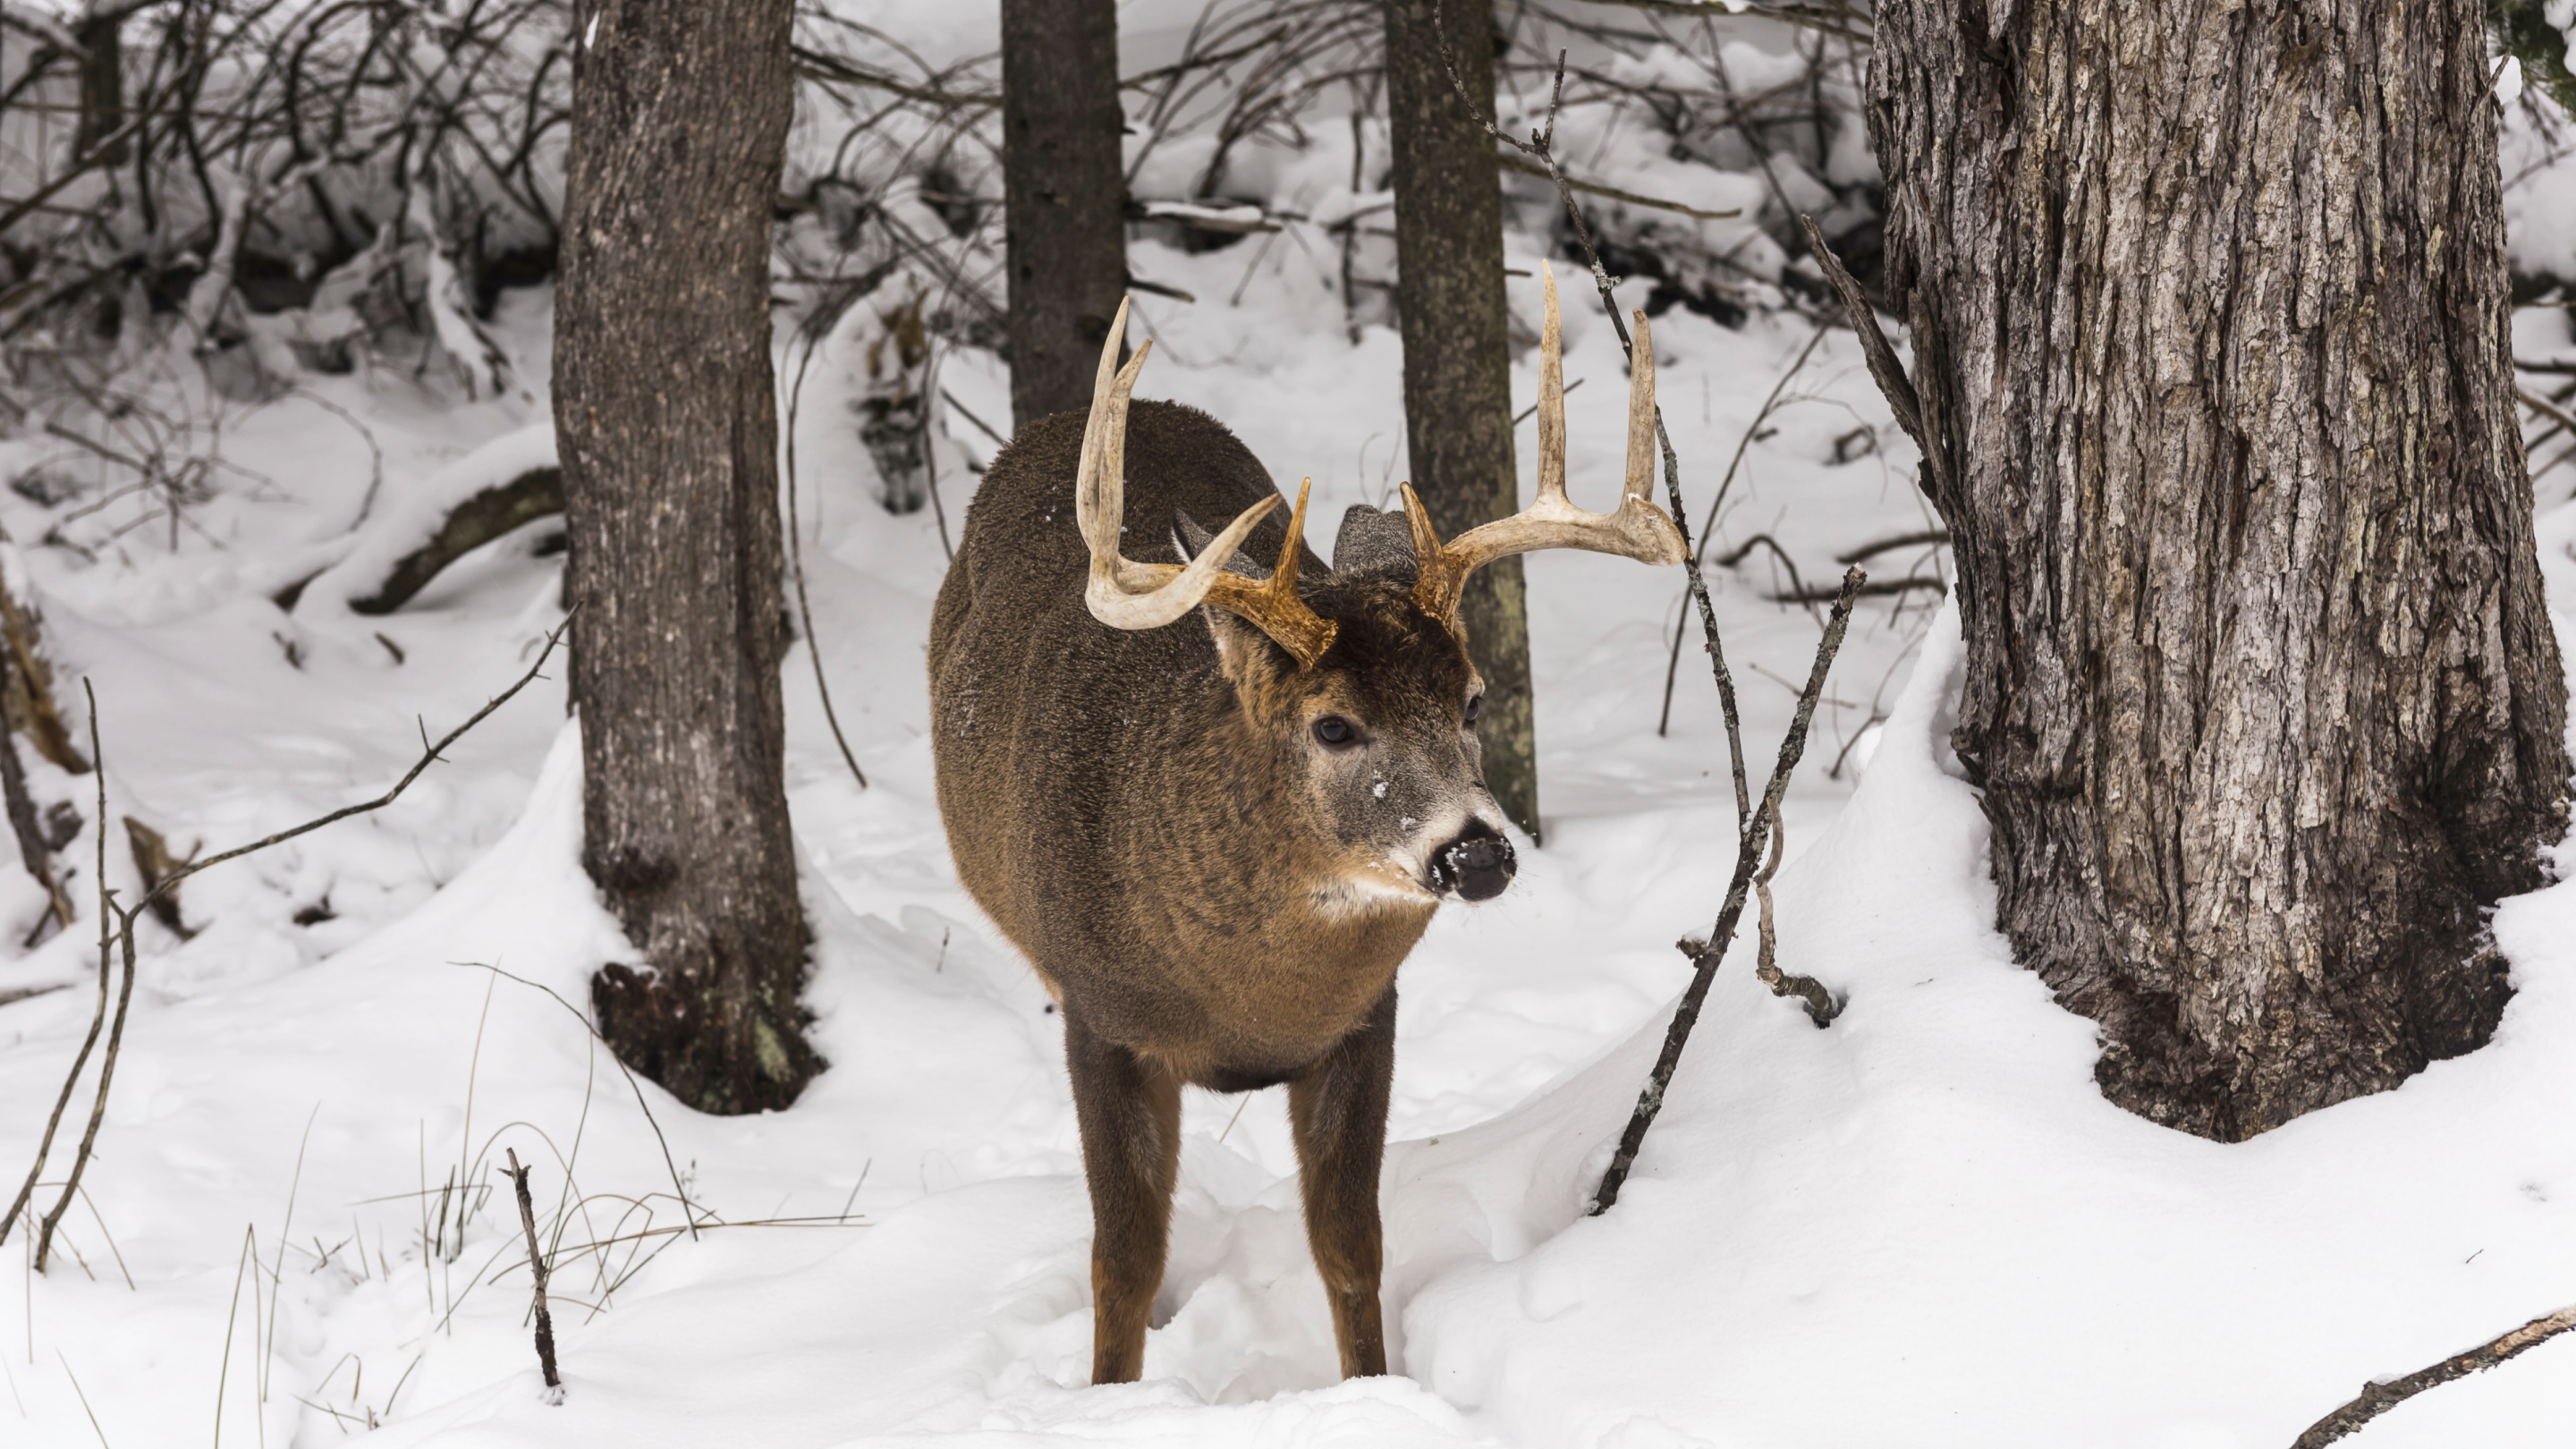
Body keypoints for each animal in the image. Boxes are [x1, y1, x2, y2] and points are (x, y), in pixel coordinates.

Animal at [927, 270, 1685, 1384]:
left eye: (1472, 700)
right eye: (1333, 724)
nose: (1476, 850)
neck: (1248, 997)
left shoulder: (1366, 1018)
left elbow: (1349, 1243)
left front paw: (1372, 1387)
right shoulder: (1103, 1021)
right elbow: (1124, 1259)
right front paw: (1108, 1395)